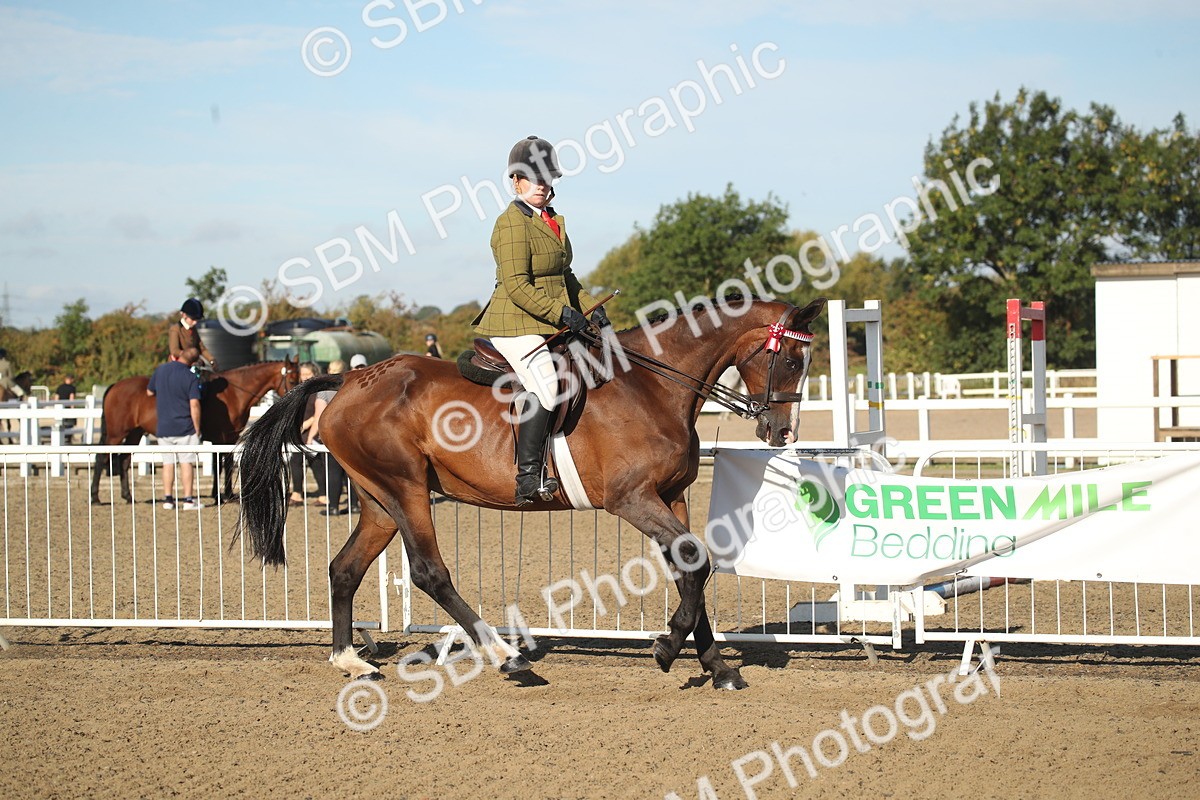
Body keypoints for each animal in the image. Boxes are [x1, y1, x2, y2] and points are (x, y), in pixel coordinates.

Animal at [90, 359, 299, 505]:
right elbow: (218, 464)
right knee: (101, 458)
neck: (234, 394)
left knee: (124, 460)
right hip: (116, 434)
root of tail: (115, 386)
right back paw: (95, 497)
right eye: (291, 379)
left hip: (134, 432)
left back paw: (128, 496)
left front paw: (228, 494)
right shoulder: (219, 438)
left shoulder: (231, 437)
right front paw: (218, 496)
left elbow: (227, 462)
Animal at [237, 297, 826, 690]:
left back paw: (350, 660)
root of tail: (348, 381)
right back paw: (505, 656)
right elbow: (695, 562)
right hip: (405, 490)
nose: (783, 433)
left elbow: (691, 567)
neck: (652, 387)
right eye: (791, 361)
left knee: (344, 568)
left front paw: (716, 666)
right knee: (429, 572)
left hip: (380, 501)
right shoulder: (632, 500)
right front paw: (666, 647)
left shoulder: (672, 495)